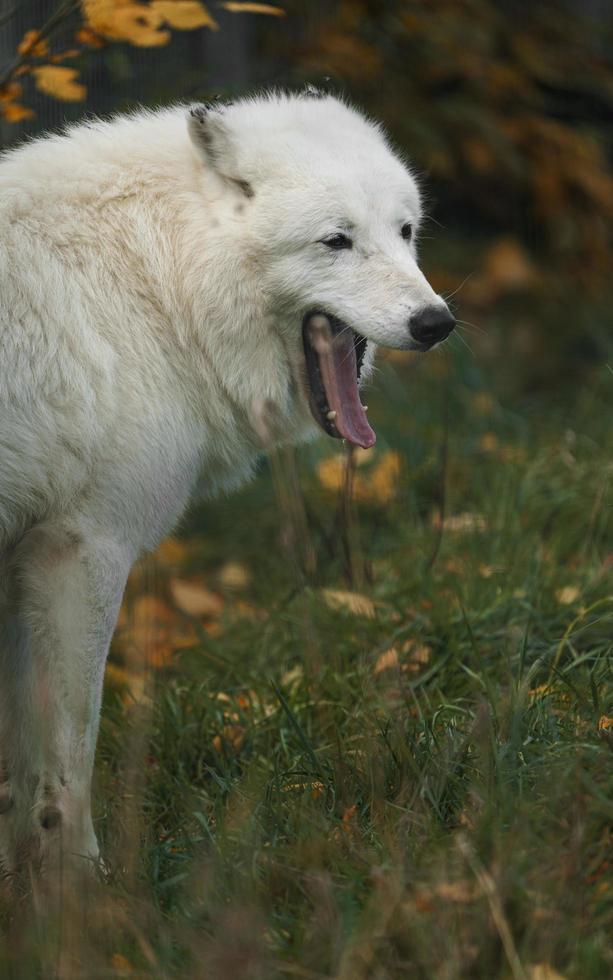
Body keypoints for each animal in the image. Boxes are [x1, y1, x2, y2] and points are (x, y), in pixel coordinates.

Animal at [0, 90, 450, 872]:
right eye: (337, 241)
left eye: (404, 231)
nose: (436, 322)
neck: (157, 283)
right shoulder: (81, 548)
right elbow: (68, 766)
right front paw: (82, 893)